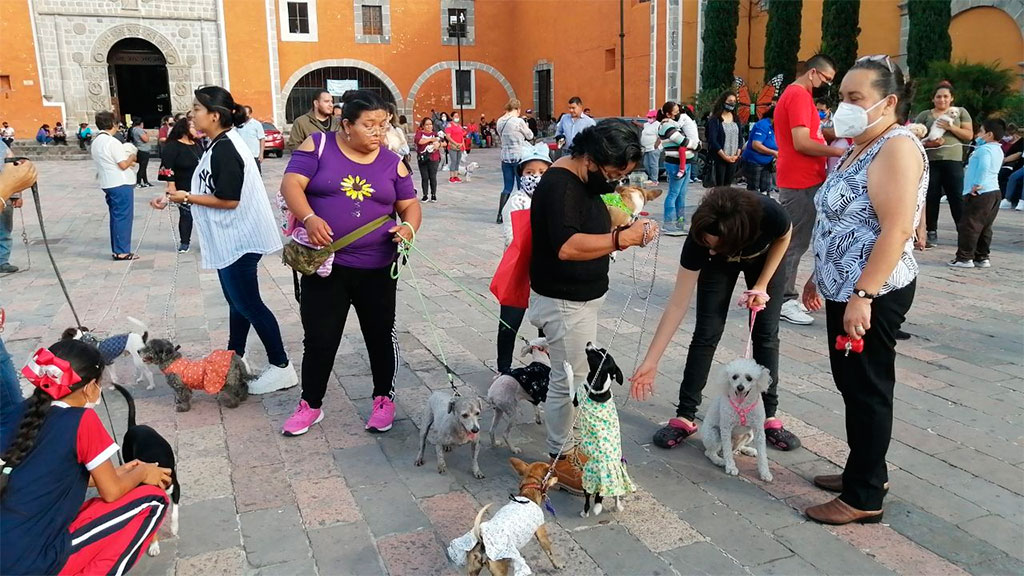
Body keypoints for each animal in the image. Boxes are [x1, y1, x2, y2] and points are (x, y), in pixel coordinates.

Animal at [569, 340, 630, 516]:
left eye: (594, 354)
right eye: (601, 349)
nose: (589, 343)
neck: (601, 388)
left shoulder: (575, 397)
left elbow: (570, 382)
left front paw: (567, 367)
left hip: (587, 479)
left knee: (588, 500)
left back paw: (584, 512)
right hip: (618, 480)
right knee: (616, 495)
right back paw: (618, 506)